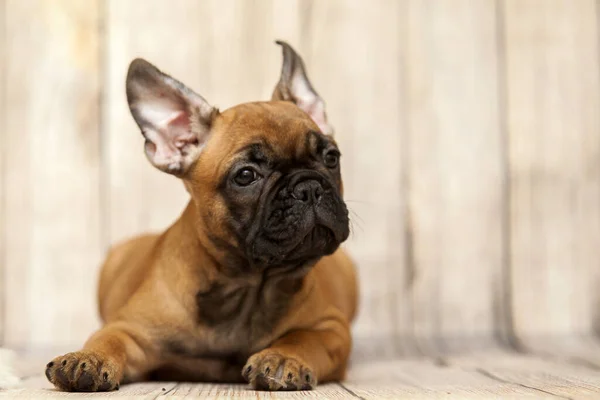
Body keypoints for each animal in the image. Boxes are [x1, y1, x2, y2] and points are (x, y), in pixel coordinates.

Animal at [47, 40, 358, 390]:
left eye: (331, 157)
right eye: (246, 176)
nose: (309, 187)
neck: (247, 285)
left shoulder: (332, 328)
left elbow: (304, 337)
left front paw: (282, 357)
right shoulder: (130, 328)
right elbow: (109, 339)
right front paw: (87, 358)